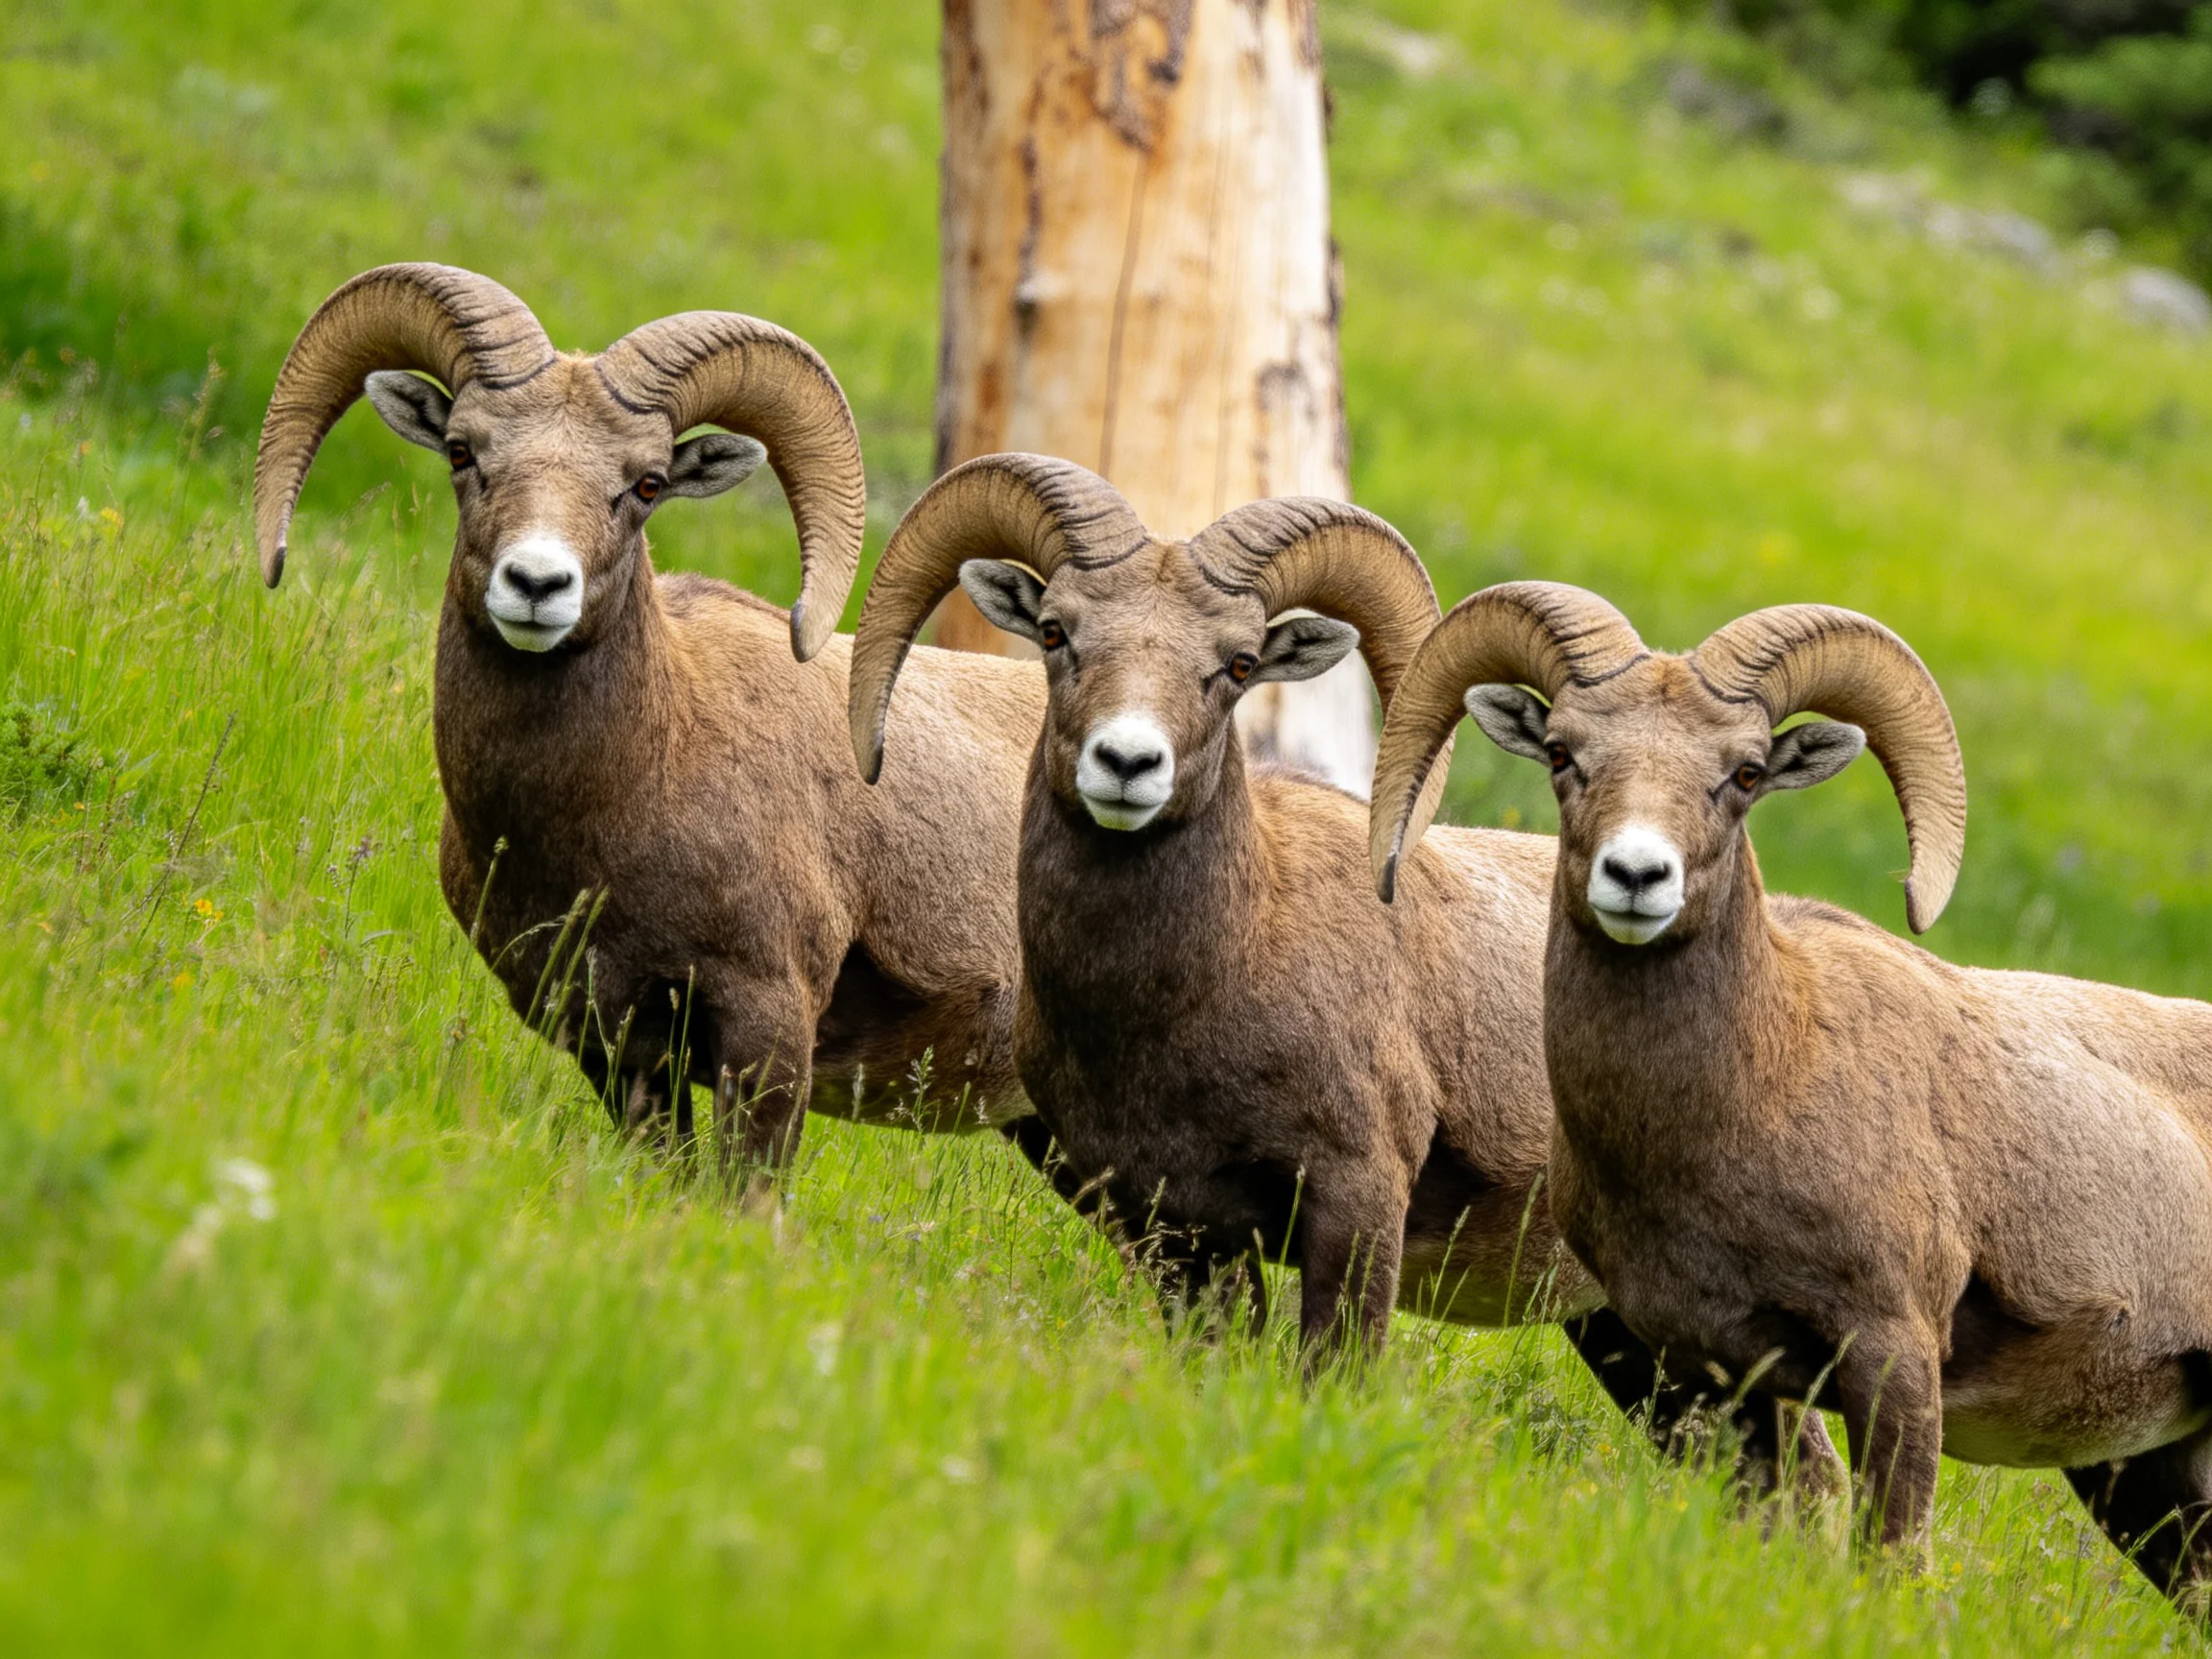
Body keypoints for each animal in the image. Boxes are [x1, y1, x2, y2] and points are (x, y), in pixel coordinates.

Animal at [847, 453, 1843, 1485]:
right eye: (1055, 632)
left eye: (1238, 666)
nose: (1126, 763)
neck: (1208, 975)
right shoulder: (1178, 1234)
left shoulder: (1355, 1206)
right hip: (1638, 1345)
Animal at [1370, 579, 2212, 1607]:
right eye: (1565, 754)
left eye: (1743, 773)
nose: (1637, 876)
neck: (1759, 1089)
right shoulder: (1719, 1375)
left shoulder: (1893, 1359)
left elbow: (1890, 1557)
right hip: (2149, 1474)